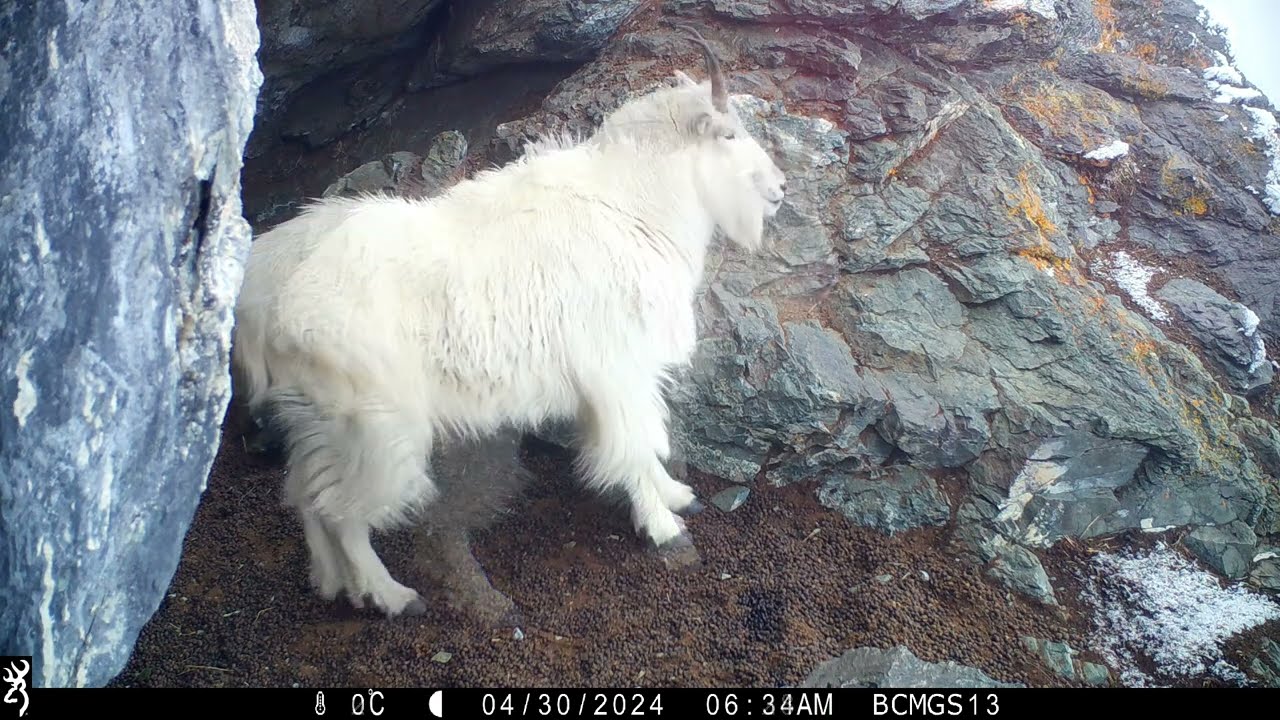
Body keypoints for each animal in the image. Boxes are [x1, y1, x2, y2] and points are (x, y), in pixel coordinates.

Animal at [230, 27, 788, 618]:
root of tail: (264, 293)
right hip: (373, 424)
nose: (780, 188)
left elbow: (640, 441)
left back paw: (333, 583)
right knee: (341, 509)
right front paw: (663, 526)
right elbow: (635, 445)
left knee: (304, 493)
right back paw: (391, 595)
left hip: (313, 417)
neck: (634, 206)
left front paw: (677, 495)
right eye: (728, 134)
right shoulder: (619, 370)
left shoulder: (619, 379)